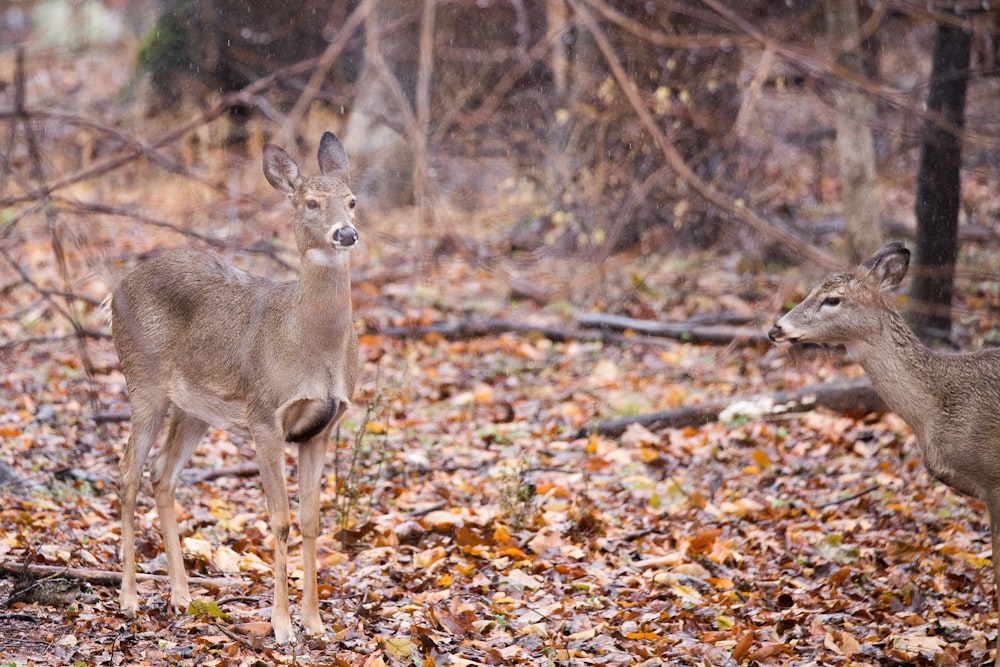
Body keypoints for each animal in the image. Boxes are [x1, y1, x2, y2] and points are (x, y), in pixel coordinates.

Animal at [112, 132, 362, 648]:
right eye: (310, 202)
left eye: (352, 201)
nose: (345, 234)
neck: (310, 346)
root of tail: (115, 290)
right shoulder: (265, 414)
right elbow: (280, 520)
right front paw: (282, 626)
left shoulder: (322, 427)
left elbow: (311, 520)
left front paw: (315, 622)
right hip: (142, 382)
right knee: (127, 472)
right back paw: (128, 600)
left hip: (194, 407)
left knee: (161, 474)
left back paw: (182, 596)